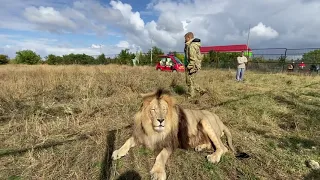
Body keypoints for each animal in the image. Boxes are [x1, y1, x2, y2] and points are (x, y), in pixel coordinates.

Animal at [110, 88, 238, 180]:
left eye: (164, 109)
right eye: (153, 109)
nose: (161, 120)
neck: (152, 130)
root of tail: (220, 120)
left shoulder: (170, 143)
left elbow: (161, 155)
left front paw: (158, 172)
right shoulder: (141, 135)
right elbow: (127, 141)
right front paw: (118, 152)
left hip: (205, 121)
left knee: (223, 147)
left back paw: (213, 157)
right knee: (211, 143)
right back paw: (200, 147)